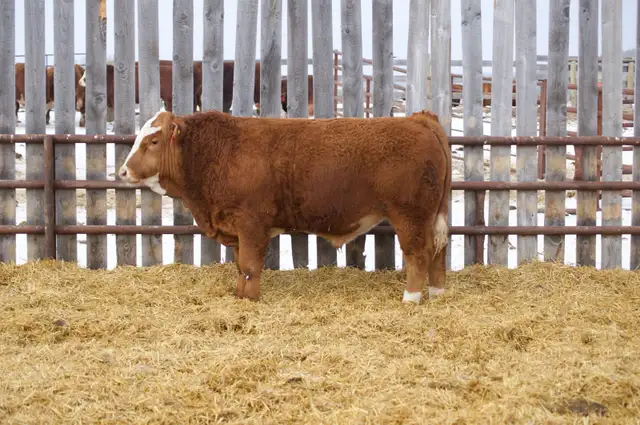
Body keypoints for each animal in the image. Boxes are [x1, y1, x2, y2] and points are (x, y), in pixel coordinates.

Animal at [117, 109, 451, 304]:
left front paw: (251, 300)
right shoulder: (236, 228)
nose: (122, 171)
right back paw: (436, 293)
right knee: (438, 251)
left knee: (418, 255)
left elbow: (251, 265)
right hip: (433, 215)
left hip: (409, 215)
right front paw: (240, 296)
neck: (214, 153)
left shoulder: (252, 223)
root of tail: (420, 119)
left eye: (153, 141)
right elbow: (240, 266)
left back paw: (411, 298)